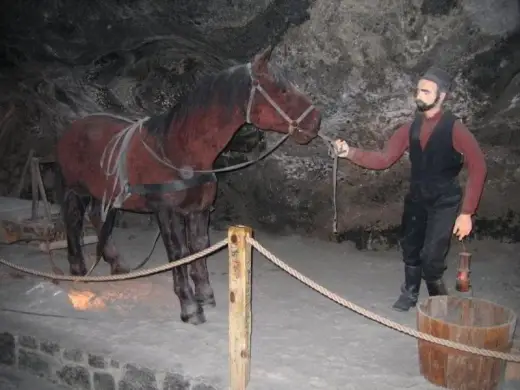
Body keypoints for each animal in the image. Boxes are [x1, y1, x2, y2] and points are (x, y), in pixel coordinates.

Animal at [53, 45, 320, 324]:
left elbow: (198, 247)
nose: (315, 120)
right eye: (282, 90)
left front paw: (204, 294)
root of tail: (73, 128)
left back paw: (116, 263)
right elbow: (178, 252)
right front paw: (189, 305)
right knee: (73, 221)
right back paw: (78, 270)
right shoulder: (166, 213)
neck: (179, 150)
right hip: (76, 190)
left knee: (97, 216)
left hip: (103, 191)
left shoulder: (198, 210)